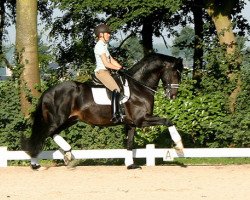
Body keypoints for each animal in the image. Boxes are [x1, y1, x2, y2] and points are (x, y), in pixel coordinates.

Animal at [23, 52, 184, 169]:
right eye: (176, 72)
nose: (173, 95)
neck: (139, 87)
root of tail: (48, 92)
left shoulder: (131, 124)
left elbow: (129, 143)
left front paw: (130, 165)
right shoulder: (141, 120)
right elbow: (168, 121)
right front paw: (179, 146)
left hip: (69, 120)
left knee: (51, 134)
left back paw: (68, 155)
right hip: (57, 120)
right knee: (40, 137)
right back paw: (36, 164)